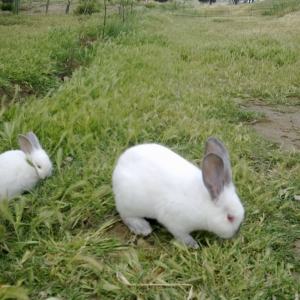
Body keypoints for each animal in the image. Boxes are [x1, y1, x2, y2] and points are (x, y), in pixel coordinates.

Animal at [112, 138, 244, 248]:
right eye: (230, 217)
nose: (235, 233)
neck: (205, 205)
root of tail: (119, 166)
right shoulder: (176, 224)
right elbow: (181, 235)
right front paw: (192, 244)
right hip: (129, 204)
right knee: (126, 216)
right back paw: (142, 227)